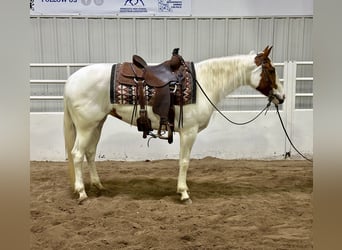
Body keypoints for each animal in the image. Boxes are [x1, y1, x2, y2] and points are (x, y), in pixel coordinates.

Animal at [62, 46, 284, 204]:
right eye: (271, 70)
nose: (281, 97)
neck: (204, 83)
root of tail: (71, 80)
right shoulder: (189, 132)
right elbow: (184, 161)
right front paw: (184, 193)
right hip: (85, 127)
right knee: (77, 154)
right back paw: (82, 193)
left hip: (97, 124)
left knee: (90, 153)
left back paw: (98, 186)